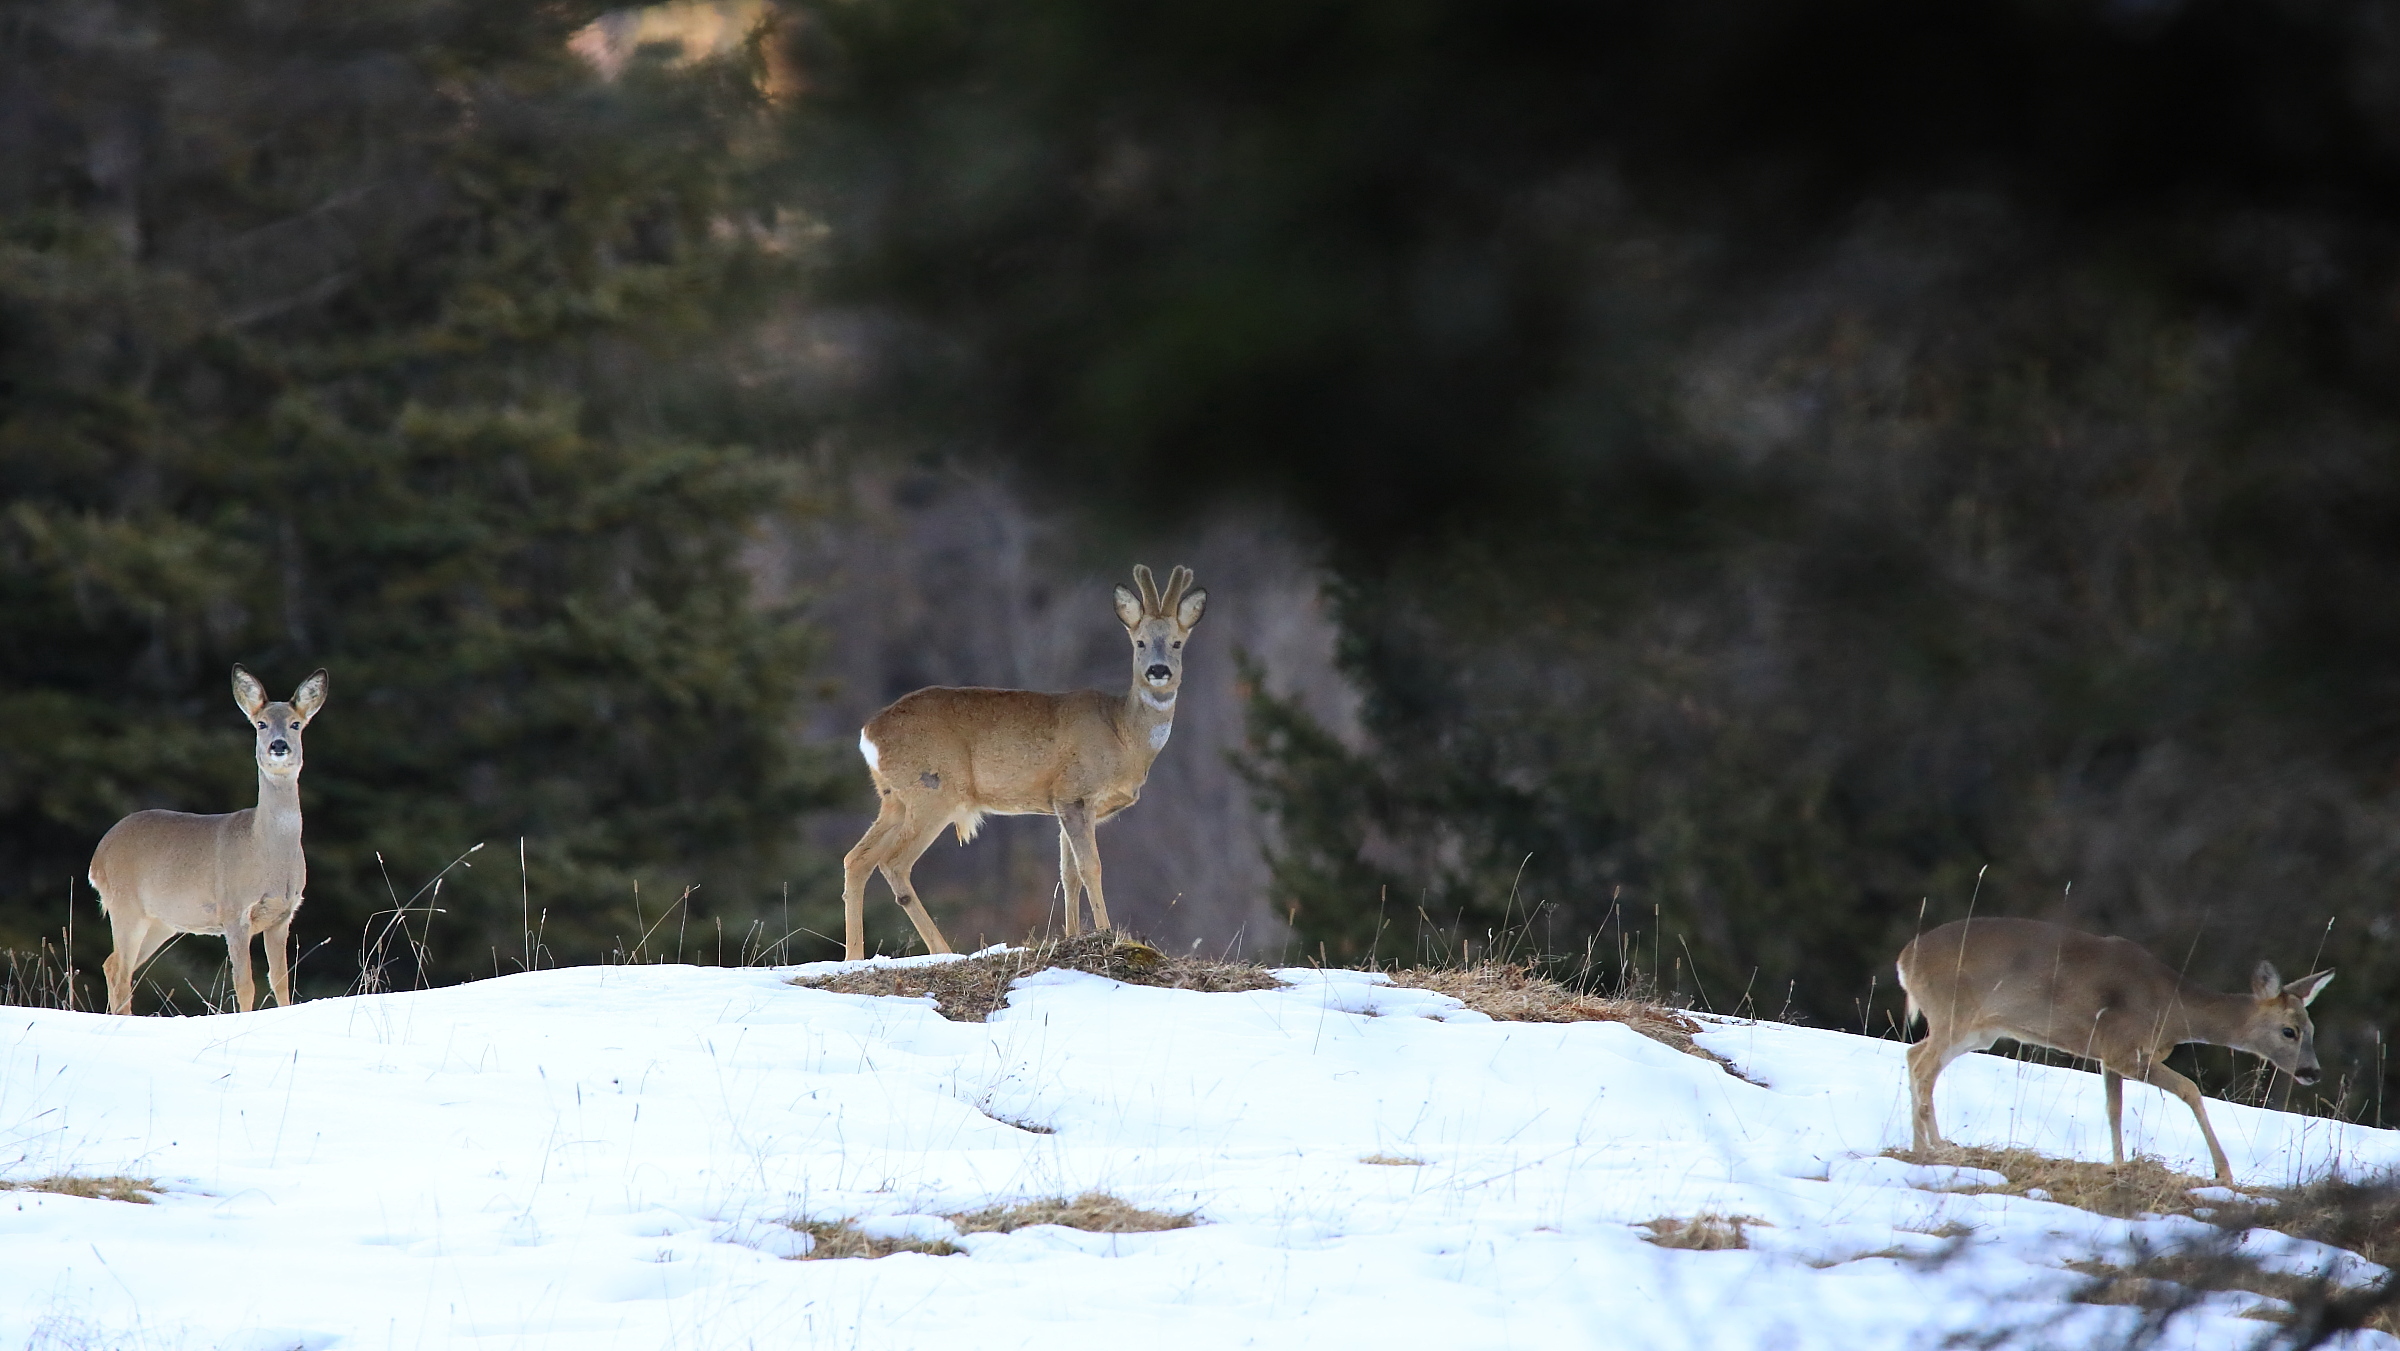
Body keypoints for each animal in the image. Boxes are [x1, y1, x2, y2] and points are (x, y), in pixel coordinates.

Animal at [89, 662, 326, 1022]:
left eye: (296, 723)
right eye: (261, 723)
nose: (279, 745)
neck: (266, 850)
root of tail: (96, 858)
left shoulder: (282, 915)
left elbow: (281, 982)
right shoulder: (234, 910)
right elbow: (245, 983)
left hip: (161, 921)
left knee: (112, 965)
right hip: (124, 904)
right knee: (120, 972)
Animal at [849, 568, 1219, 959]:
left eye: (1177, 643)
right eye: (1140, 642)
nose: (1158, 671)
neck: (1123, 734)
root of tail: (869, 733)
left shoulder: (1064, 803)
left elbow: (1068, 874)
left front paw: (1072, 935)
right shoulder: (1074, 791)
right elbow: (1091, 867)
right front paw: (1106, 933)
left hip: (895, 798)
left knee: (857, 859)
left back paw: (852, 956)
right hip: (932, 790)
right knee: (894, 863)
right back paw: (942, 949)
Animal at [1891, 921, 2323, 1185]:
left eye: (2312, 1030)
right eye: (2289, 1031)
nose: (2312, 1071)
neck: (2173, 1010)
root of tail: (1904, 959)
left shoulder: (2108, 1054)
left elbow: (2113, 1109)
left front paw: (2118, 1164)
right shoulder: (2121, 1048)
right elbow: (2190, 1090)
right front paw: (2224, 1173)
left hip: (1976, 1030)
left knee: (1916, 1058)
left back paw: (1933, 1144)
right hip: (1954, 1013)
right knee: (1923, 1066)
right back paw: (1928, 1149)